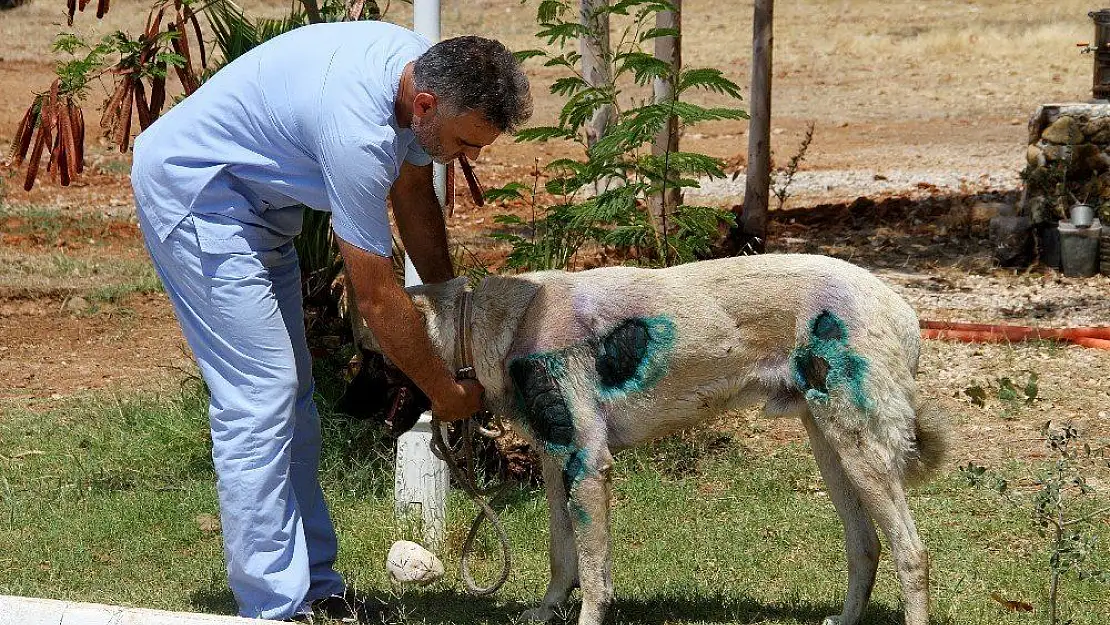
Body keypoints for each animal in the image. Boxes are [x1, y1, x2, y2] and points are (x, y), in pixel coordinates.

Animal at [395, 254, 941, 625]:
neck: (511, 323)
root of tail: (906, 313)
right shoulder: (557, 466)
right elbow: (562, 555)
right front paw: (547, 610)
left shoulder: (587, 466)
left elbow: (594, 573)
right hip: (833, 453)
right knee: (866, 545)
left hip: (861, 455)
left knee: (912, 553)